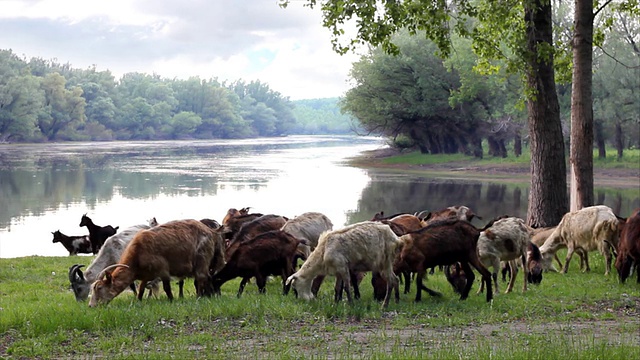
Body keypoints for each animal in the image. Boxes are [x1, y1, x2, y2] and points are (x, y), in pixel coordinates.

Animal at [87, 219, 226, 306]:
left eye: (99, 288)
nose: (91, 306)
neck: (138, 252)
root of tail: (212, 232)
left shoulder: (163, 271)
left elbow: (166, 288)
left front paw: (171, 301)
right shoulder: (146, 274)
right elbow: (141, 288)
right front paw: (139, 301)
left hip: (202, 259)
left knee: (201, 278)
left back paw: (199, 297)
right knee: (208, 277)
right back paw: (210, 296)